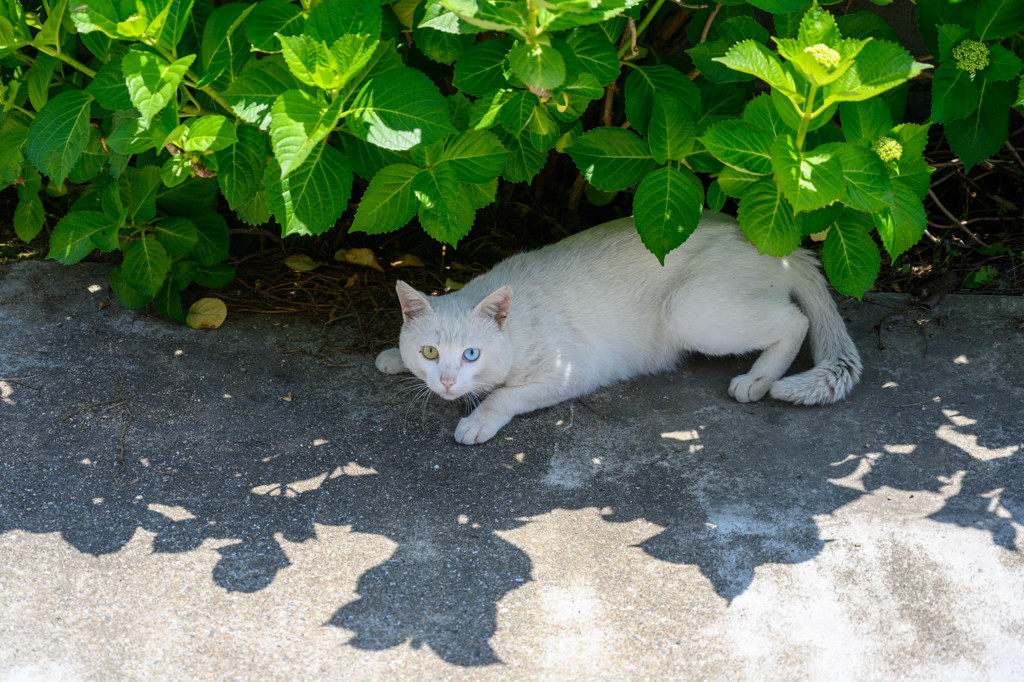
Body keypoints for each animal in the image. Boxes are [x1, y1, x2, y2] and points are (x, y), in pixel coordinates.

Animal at [372, 214, 860, 446]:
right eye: (430, 353)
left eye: (471, 354)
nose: (447, 382)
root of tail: (782, 248)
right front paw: (395, 358)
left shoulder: (569, 371)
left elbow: (503, 396)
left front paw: (476, 421)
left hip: (689, 310)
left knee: (795, 319)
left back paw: (758, 379)